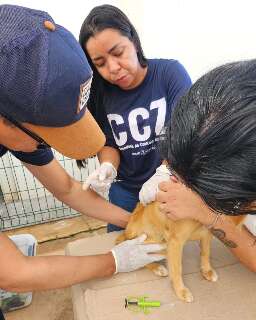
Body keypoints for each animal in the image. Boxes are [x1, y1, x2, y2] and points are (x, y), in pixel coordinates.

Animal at [115, 202, 244, 302]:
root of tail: (126, 233)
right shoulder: (176, 241)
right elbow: (177, 269)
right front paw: (181, 291)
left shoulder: (207, 230)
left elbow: (206, 252)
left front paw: (207, 270)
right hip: (156, 241)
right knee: (140, 256)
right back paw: (157, 267)